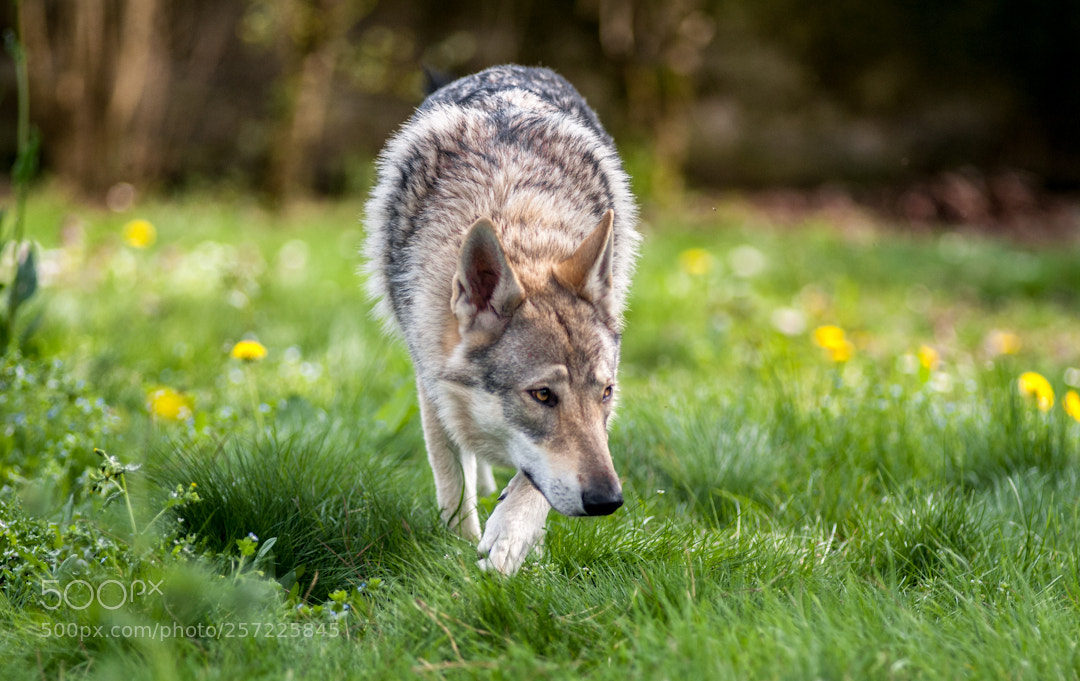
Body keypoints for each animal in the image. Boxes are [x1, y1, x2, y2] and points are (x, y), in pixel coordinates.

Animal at [363, 65, 640, 575]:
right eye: (543, 395)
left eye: (606, 392)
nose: (608, 501)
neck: (512, 212)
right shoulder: (432, 382)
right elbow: (453, 484)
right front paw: (459, 552)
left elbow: (532, 482)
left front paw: (509, 536)